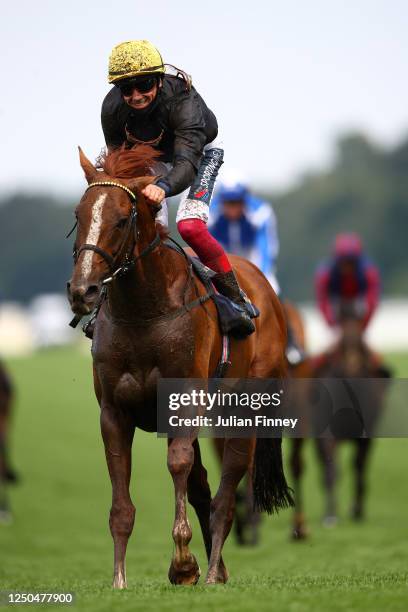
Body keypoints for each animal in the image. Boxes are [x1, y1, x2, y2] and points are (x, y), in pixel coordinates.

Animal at [66, 145, 294, 588]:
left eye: (122, 219)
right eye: (79, 215)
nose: (82, 291)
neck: (144, 312)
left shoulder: (185, 401)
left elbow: (178, 465)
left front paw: (184, 563)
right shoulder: (114, 412)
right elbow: (123, 499)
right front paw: (119, 581)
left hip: (245, 408)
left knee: (227, 489)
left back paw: (212, 571)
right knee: (204, 484)